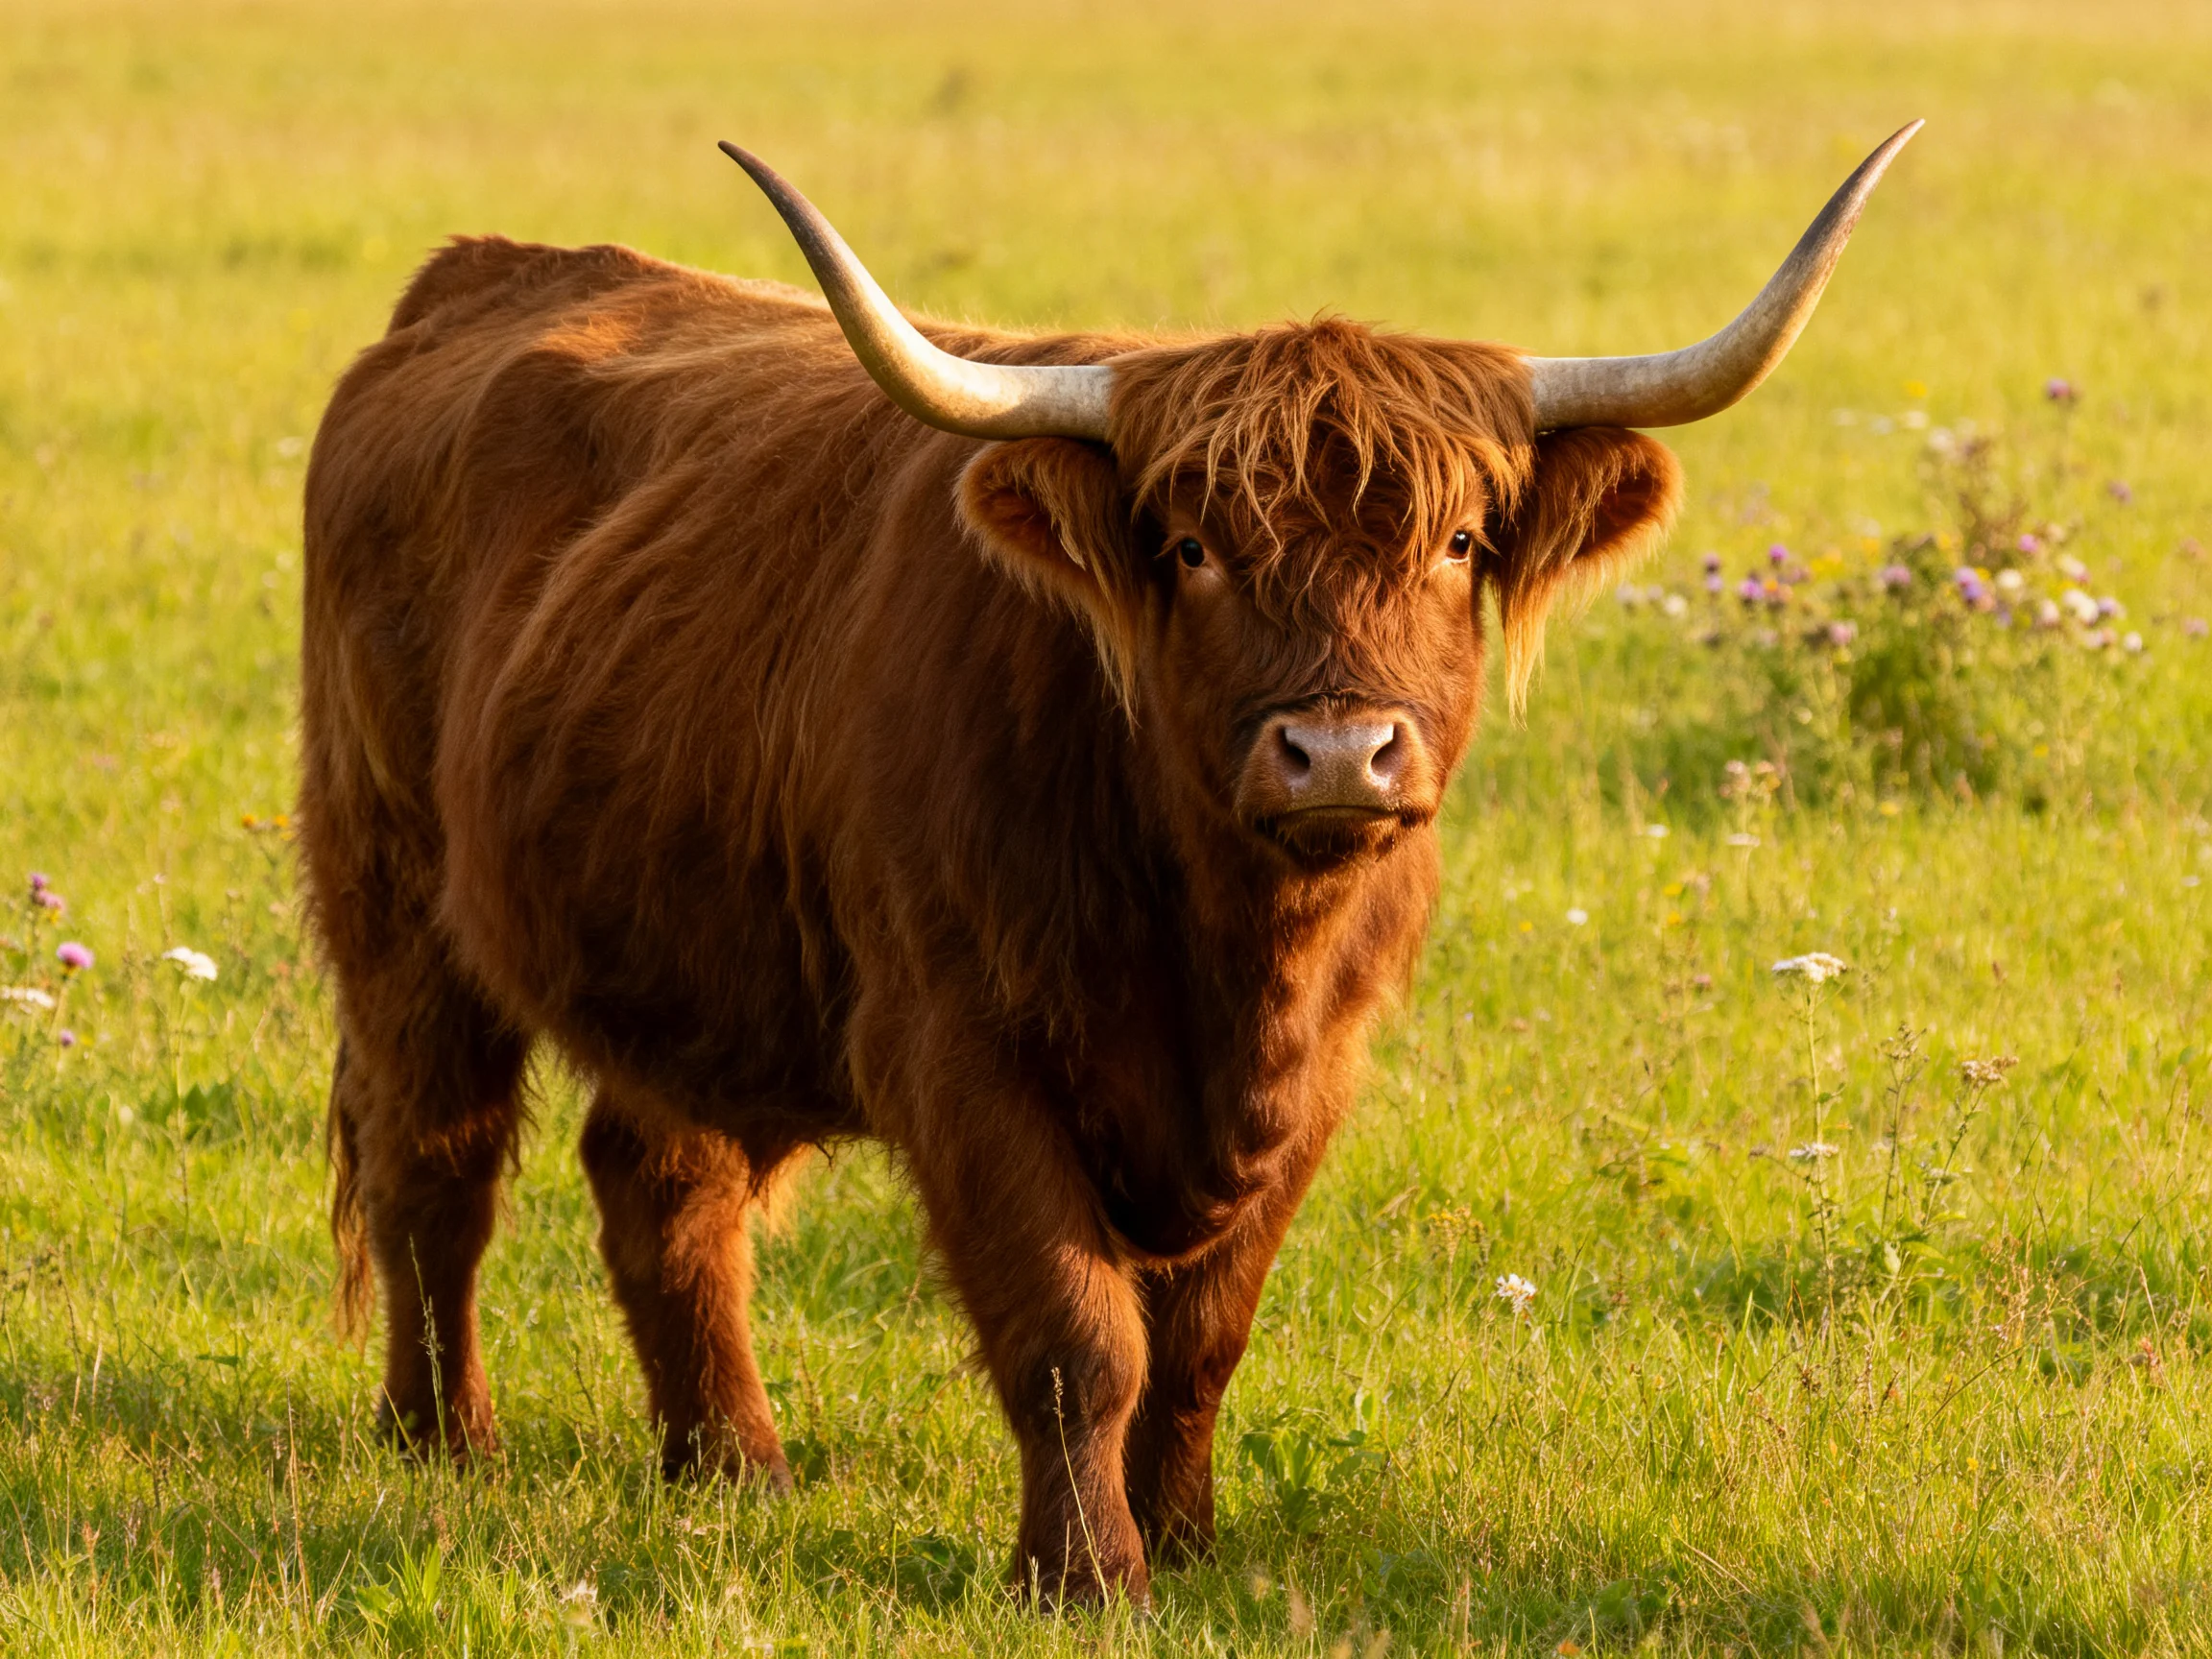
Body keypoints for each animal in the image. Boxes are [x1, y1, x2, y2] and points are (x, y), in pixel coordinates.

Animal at [298, 124, 1917, 1605]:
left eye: (1462, 542)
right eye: (1192, 548)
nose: (1340, 754)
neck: (1225, 950)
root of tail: (482, 277)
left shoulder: (1320, 1073)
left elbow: (1203, 1338)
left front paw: (1189, 1547)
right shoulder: (960, 1048)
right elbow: (1079, 1334)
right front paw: (1085, 1574)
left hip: (687, 942)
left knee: (661, 1179)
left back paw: (731, 1466)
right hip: (395, 892)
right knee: (436, 1159)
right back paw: (446, 1440)